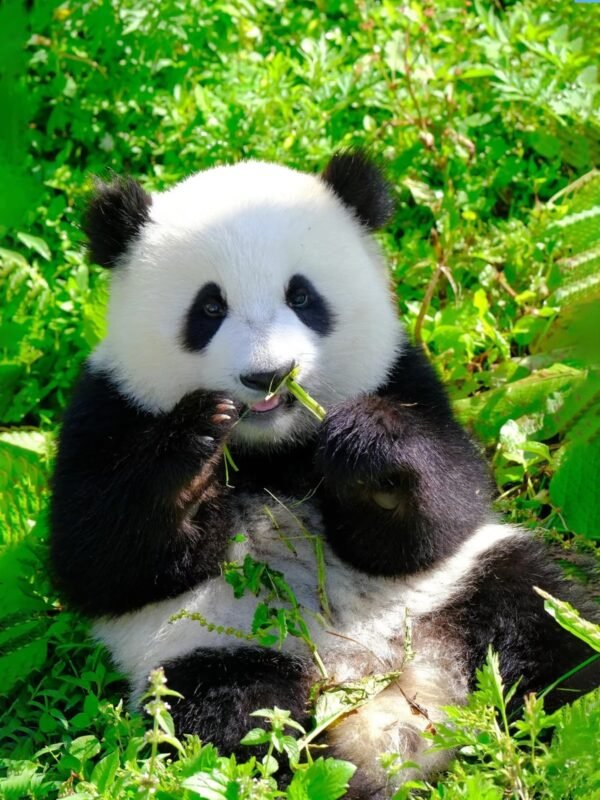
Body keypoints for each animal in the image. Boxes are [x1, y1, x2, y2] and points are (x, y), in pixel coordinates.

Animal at [50, 153, 598, 798]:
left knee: (552, 623)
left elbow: (447, 504)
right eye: (209, 308)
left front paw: (370, 457)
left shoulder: (403, 376)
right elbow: (99, 561)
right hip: (219, 651)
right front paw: (192, 452)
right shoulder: (106, 407)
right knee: (232, 718)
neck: (273, 448)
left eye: (302, 296)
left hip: (467, 588)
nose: (268, 375)